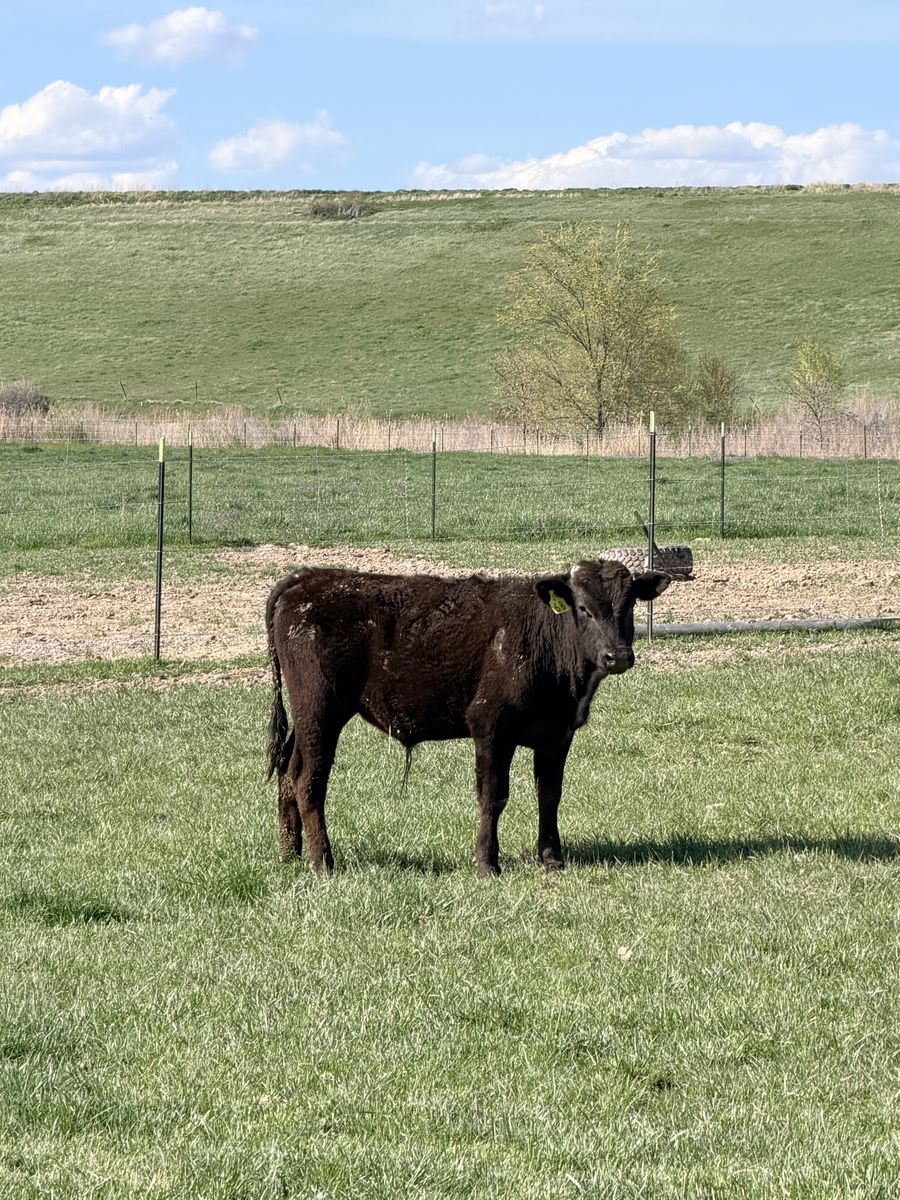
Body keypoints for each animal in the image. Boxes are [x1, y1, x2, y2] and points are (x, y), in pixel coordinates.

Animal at [265, 560, 670, 876]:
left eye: (629, 604)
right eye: (583, 608)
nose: (617, 656)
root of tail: (308, 577)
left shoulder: (557, 735)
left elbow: (549, 795)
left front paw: (551, 858)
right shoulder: (490, 727)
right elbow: (493, 795)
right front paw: (487, 862)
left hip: (306, 719)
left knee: (287, 771)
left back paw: (290, 854)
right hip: (320, 710)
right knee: (308, 779)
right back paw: (322, 861)